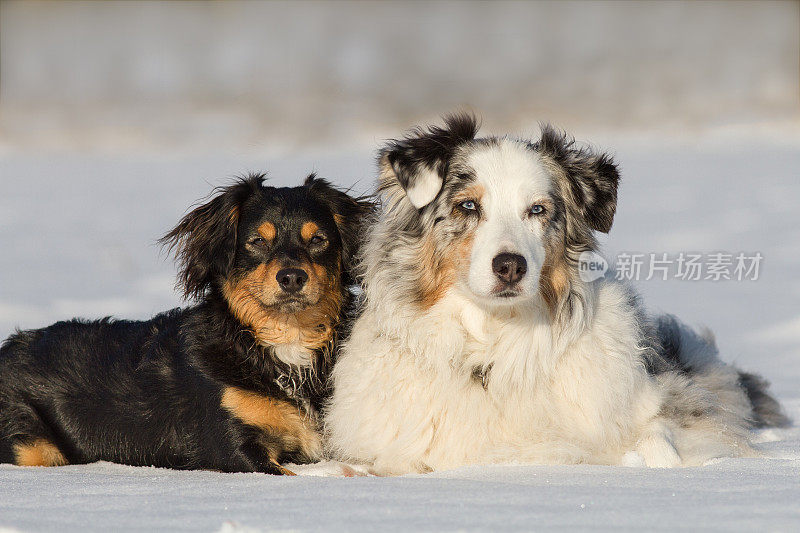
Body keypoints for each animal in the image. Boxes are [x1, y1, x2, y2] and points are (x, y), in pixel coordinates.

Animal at [0, 175, 370, 474]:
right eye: (257, 241)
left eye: (318, 240)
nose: (292, 277)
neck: (283, 345)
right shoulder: (232, 448)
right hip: (29, 442)